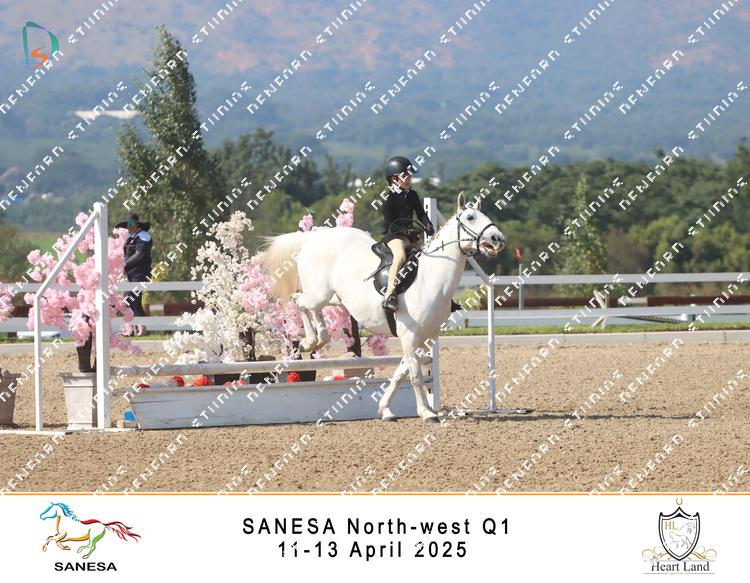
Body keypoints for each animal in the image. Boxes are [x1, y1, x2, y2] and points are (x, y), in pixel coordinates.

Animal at [263, 192, 506, 423]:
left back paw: (319, 339)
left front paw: (386, 410)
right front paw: (427, 414)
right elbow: (415, 376)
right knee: (298, 300)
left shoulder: (424, 339)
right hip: (318, 294)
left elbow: (400, 374)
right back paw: (310, 341)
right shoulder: (409, 336)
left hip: (335, 298)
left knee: (312, 307)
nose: (498, 239)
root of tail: (313, 238)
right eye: (470, 217)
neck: (431, 279)